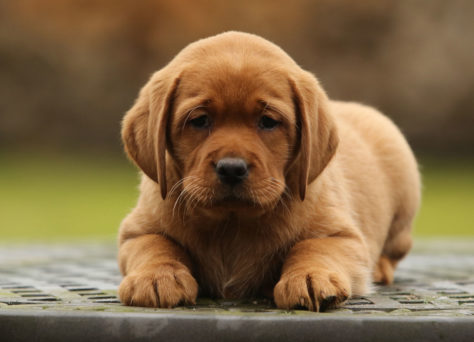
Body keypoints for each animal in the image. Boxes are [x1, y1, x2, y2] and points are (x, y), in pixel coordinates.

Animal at [116, 30, 420, 312]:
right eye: (199, 120)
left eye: (268, 121)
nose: (232, 169)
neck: (231, 224)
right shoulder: (136, 231)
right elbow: (155, 244)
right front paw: (156, 277)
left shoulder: (342, 235)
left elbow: (312, 246)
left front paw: (311, 276)